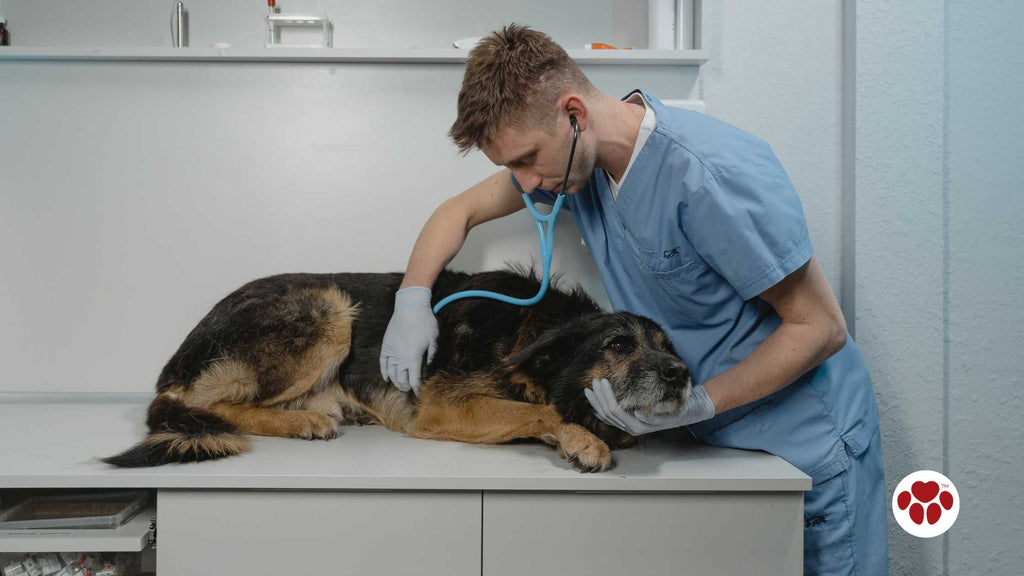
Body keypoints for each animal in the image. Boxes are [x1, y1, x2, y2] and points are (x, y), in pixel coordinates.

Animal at [103, 264, 692, 471]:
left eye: (669, 346)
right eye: (618, 344)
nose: (681, 375)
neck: (532, 330)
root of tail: (174, 364)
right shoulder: (442, 409)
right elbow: (547, 413)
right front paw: (582, 439)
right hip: (329, 305)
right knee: (210, 404)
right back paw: (303, 421)